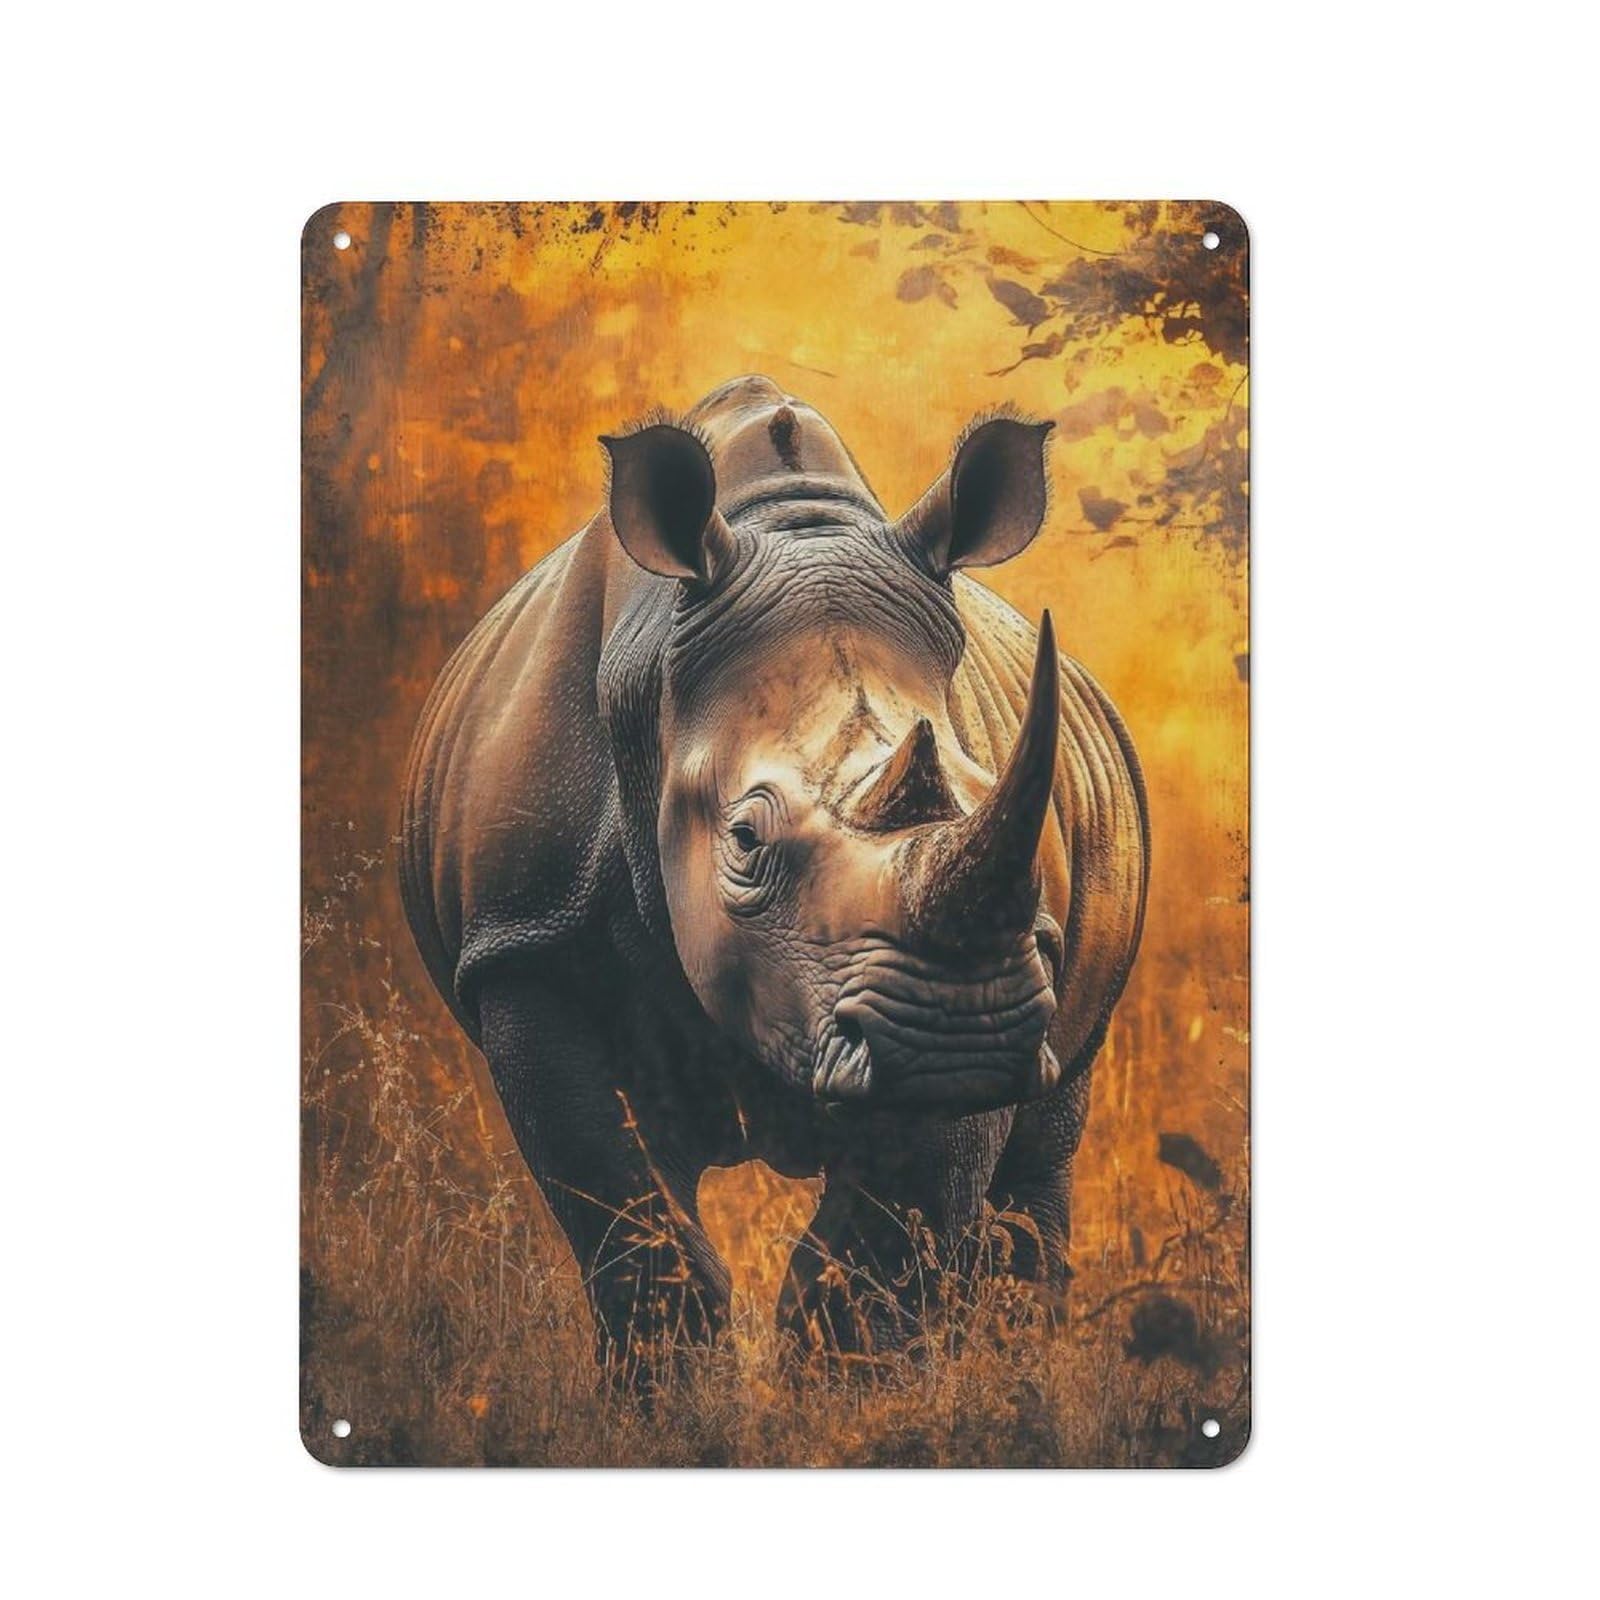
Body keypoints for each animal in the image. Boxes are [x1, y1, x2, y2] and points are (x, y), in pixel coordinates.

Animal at [400, 375, 1148, 1383]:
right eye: (746, 839)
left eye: (986, 789)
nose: (959, 1034)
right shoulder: (524, 944)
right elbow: (636, 1237)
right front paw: (667, 1404)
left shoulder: (992, 981)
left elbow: (874, 1266)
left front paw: (860, 1400)